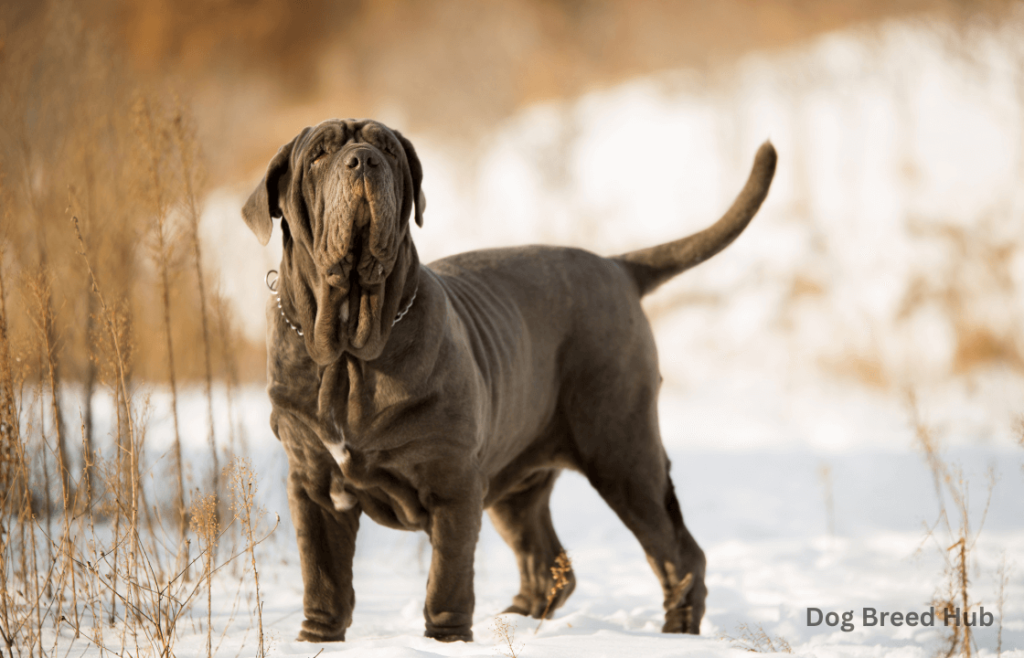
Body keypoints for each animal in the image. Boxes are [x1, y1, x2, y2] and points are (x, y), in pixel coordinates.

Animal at [241, 118, 774, 642]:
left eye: (388, 150)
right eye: (318, 155)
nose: (364, 160)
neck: (350, 352)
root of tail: (617, 266)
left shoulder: (455, 485)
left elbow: (447, 579)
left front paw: (445, 642)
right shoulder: (313, 485)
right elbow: (323, 577)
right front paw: (316, 639)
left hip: (623, 453)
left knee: (678, 553)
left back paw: (675, 632)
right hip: (520, 483)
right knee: (548, 561)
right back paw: (516, 619)